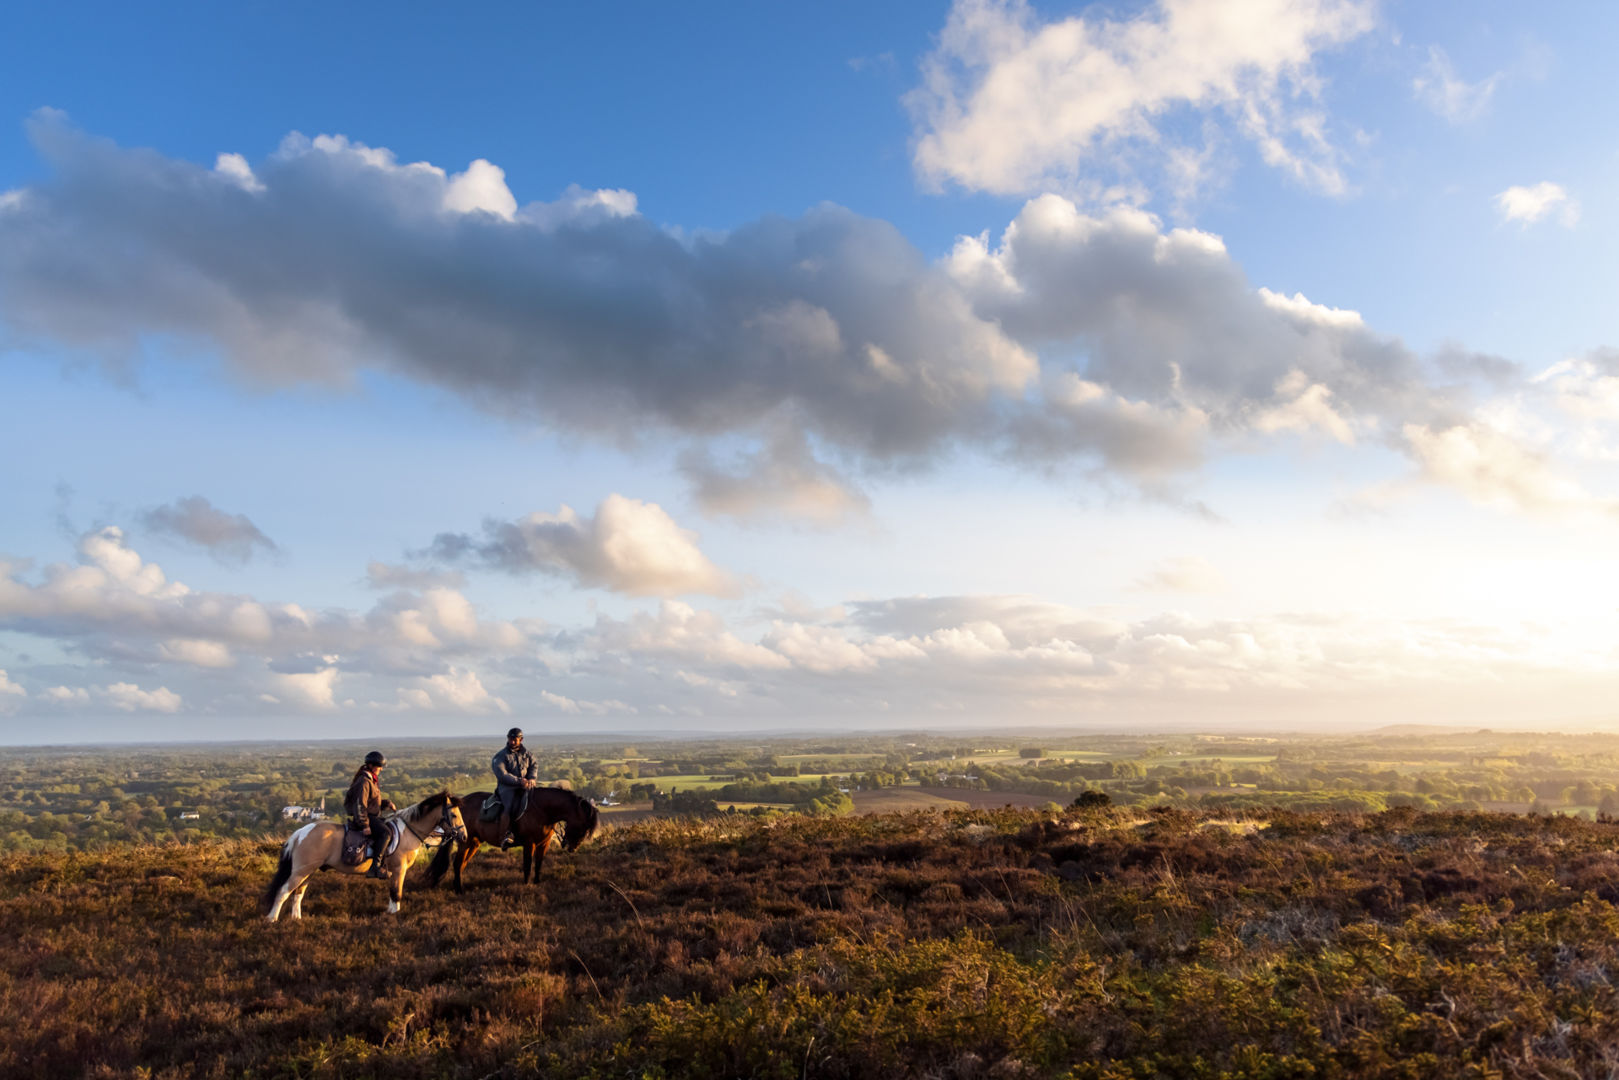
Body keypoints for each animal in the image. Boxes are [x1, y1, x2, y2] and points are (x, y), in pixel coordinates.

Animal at [259, 790, 463, 926]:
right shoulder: (399, 869)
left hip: (308, 871)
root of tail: (300, 832)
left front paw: (389, 912)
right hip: (301, 870)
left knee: (297, 893)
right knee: (284, 891)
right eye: (453, 814)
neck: (408, 831)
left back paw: (296, 919)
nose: (463, 836)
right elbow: (396, 892)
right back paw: (272, 919)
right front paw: (395, 914)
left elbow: (392, 892)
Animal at [424, 786, 602, 893]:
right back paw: (459, 889)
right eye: (582, 825)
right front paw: (526, 885)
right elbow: (527, 865)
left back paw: (458, 886)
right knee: (457, 863)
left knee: (462, 864)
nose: (572, 847)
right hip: (465, 841)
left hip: (474, 842)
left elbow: (539, 864)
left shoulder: (543, 844)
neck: (543, 811)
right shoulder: (529, 843)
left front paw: (537, 882)